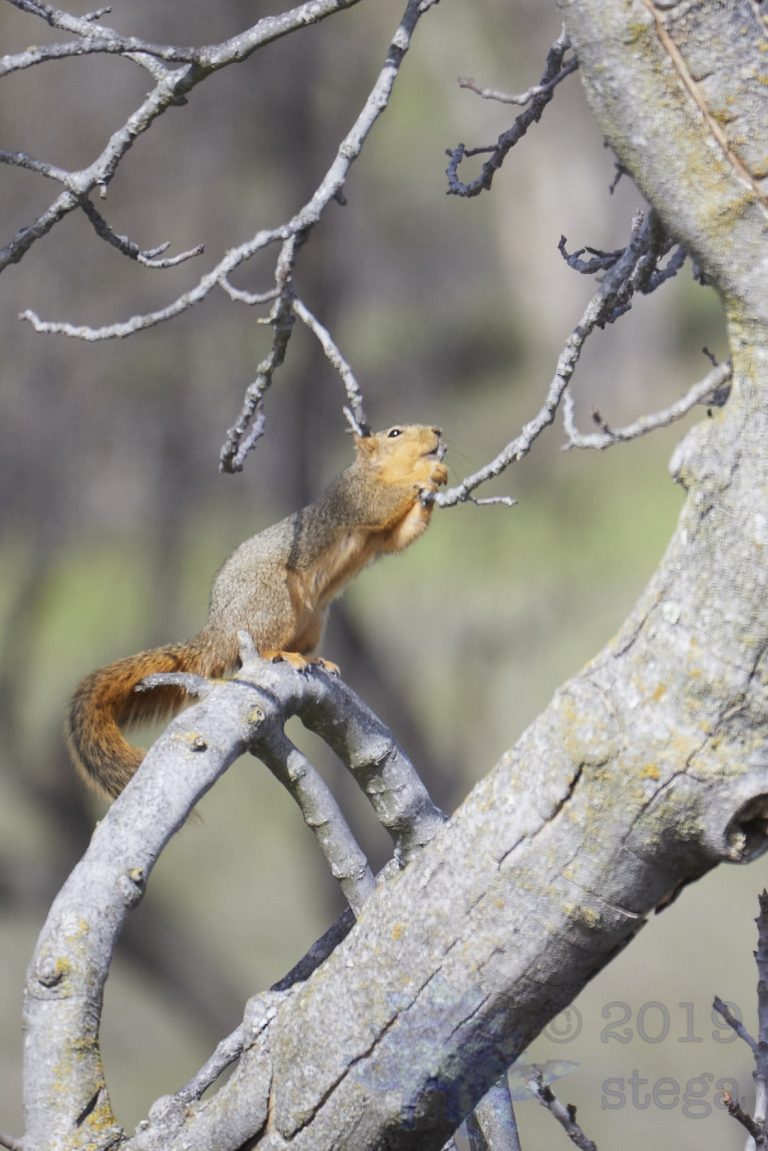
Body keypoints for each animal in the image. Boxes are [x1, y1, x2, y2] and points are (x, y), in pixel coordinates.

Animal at [66, 424, 448, 800]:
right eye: (395, 433)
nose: (437, 432)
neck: (373, 470)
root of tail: (219, 629)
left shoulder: (384, 535)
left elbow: (403, 535)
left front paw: (436, 476)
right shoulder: (353, 499)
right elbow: (383, 501)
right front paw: (429, 473)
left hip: (314, 619)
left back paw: (315, 659)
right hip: (273, 601)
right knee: (261, 646)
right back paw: (282, 655)